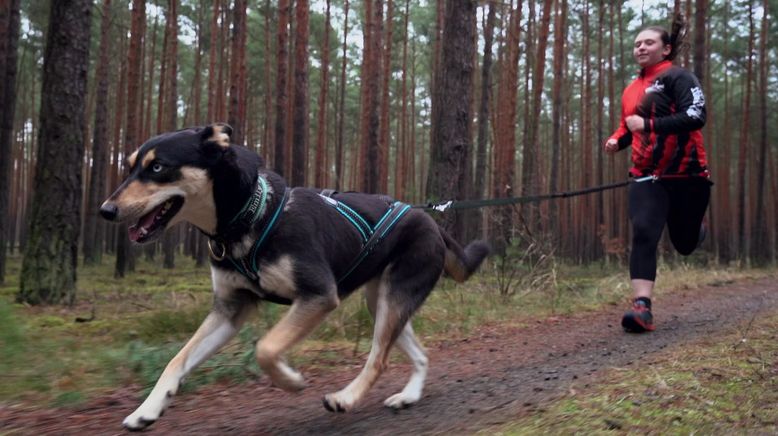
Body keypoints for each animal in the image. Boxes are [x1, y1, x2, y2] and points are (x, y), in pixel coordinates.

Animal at [97, 122, 484, 430]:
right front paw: (147, 409)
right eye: (129, 168)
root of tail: (430, 220)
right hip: (382, 301)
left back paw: (346, 398)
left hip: (395, 297)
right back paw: (408, 396)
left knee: (379, 359)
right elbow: (177, 360)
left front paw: (291, 380)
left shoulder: (318, 296)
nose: (106, 210)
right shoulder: (229, 309)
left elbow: (266, 348)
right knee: (418, 354)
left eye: (158, 167)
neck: (249, 216)